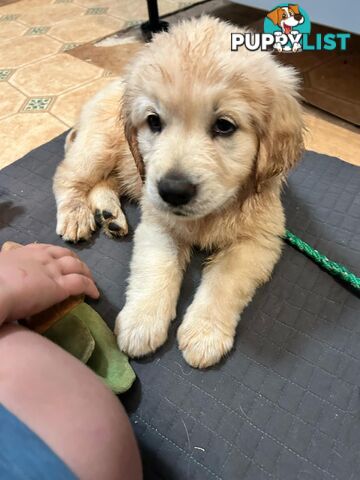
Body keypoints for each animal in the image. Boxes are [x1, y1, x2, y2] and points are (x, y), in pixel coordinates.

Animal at [53, 15, 302, 368]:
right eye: (154, 121)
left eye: (224, 125)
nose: (173, 191)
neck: (214, 211)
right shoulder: (159, 224)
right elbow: (155, 269)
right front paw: (140, 322)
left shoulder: (258, 239)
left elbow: (225, 282)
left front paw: (204, 333)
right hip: (99, 147)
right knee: (67, 176)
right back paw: (76, 215)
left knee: (106, 182)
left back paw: (109, 214)